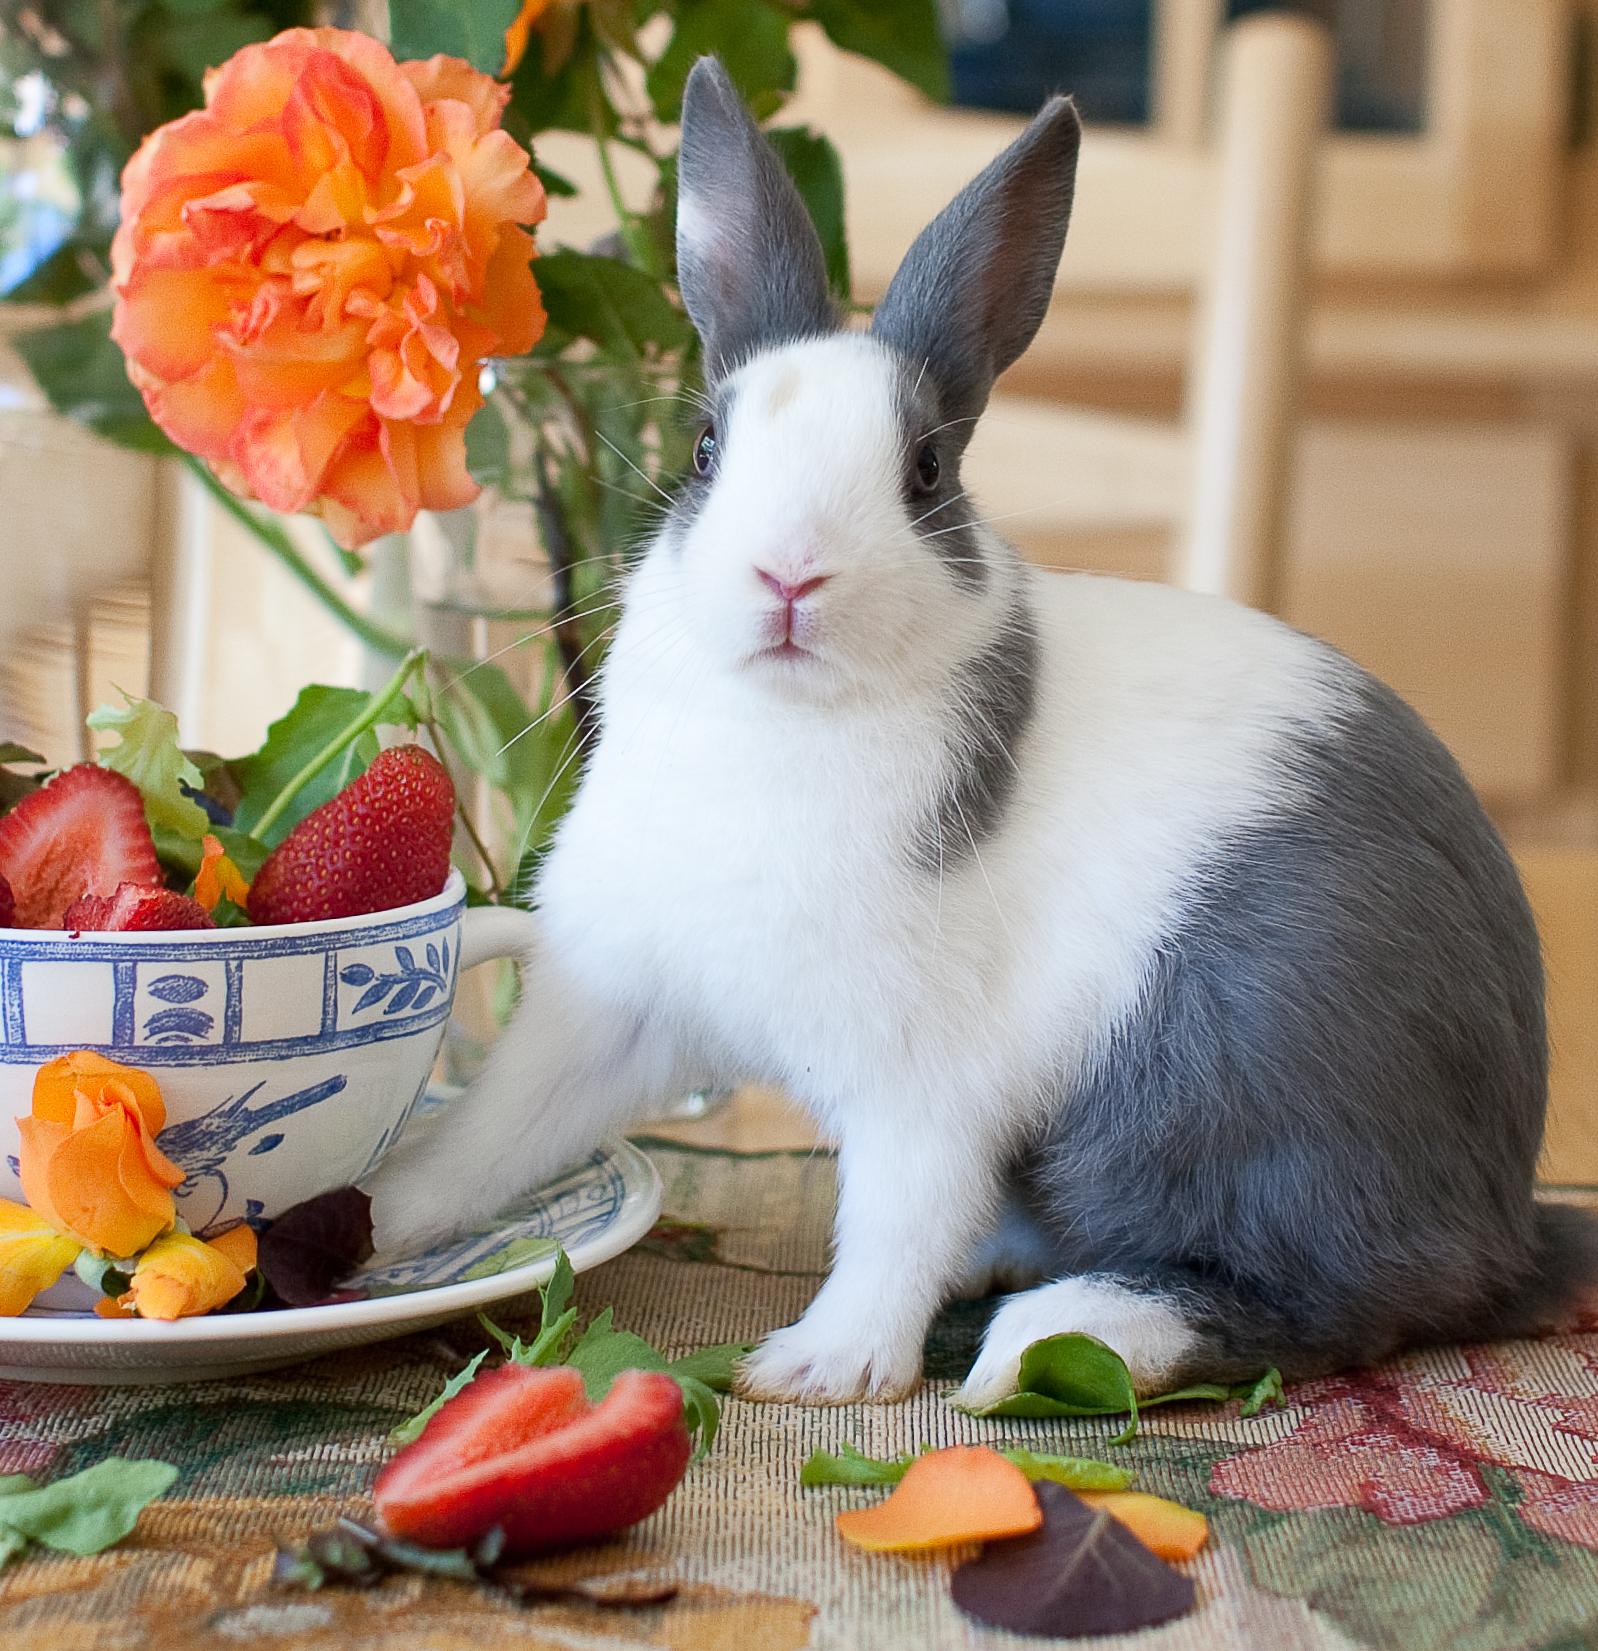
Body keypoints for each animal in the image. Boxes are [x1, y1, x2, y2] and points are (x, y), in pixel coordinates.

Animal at [366, 55, 1598, 1406]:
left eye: (922, 471)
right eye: (703, 448)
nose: (787, 574)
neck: (788, 723)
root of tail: (1508, 1211)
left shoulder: (924, 1083)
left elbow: (896, 1220)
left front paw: (819, 1369)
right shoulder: (608, 1004)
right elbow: (490, 1138)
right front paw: (365, 1225)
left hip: (1243, 1098)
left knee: (1324, 1299)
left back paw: (1052, 1336)